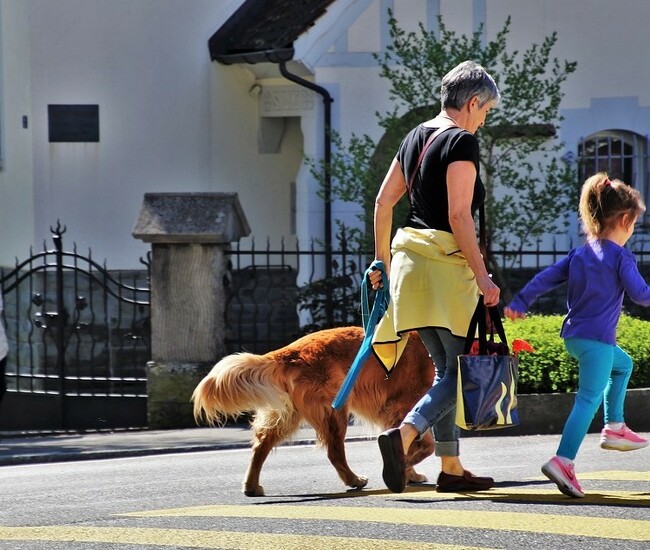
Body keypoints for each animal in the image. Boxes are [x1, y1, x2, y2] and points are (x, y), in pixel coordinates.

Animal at [192, 326, 436, 498]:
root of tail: (288, 352)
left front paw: (408, 473)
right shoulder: (403, 406)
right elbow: (425, 445)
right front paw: (404, 469)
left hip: (290, 414)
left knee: (261, 444)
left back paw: (251, 486)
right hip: (334, 410)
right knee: (334, 452)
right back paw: (354, 480)